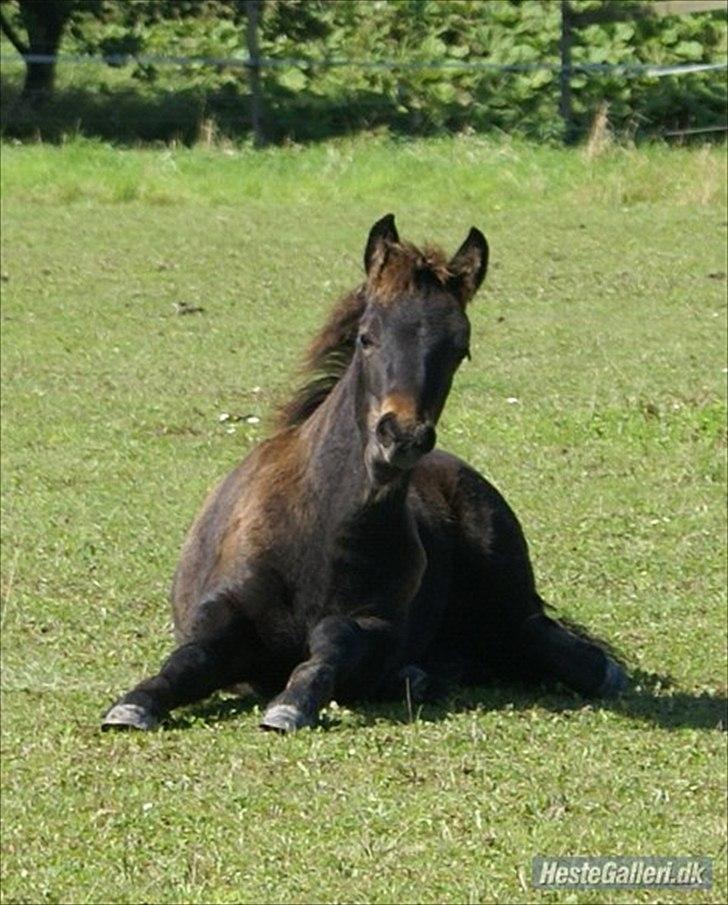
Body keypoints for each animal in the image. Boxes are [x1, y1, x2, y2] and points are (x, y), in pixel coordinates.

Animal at [102, 214, 626, 733]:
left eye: (460, 348)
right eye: (366, 336)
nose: (402, 437)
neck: (319, 525)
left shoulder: (376, 626)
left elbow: (335, 641)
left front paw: (290, 704)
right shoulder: (220, 612)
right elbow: (187, 661)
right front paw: (132, 705)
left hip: (508, 594)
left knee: (547, 643)